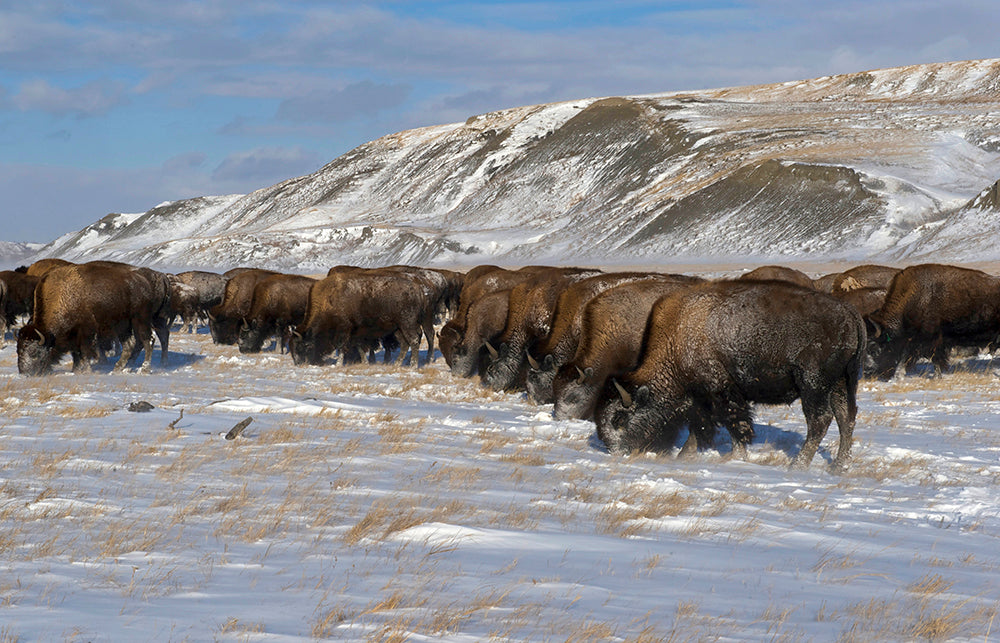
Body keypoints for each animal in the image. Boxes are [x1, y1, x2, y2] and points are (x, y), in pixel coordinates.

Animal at [17, 260, 172, 374]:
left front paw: (86, 370)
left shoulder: (86, 331)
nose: (25, 373)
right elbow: (76, 352)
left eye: (34, 352)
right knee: (135, 342)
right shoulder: (74, 334)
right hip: (130, 323)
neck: (64, 295)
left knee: (148, 340)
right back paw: (121, 368)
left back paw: (144, 369)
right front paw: (75, 369)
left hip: (141, 319)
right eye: (18, 349)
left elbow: (85, 351)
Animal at [588, 282, 864, 472]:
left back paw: (797, 465)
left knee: (820, 420)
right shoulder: (702, 400)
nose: (616, 451)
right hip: (841, 383)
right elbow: (701, 427)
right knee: (846, 417)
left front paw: (736, 457)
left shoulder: (720, 391)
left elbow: (733, 424)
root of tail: (850, 313)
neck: (677, 340)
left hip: (813, 384)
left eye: (619, 419)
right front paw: (686, 456)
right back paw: (839, 466)